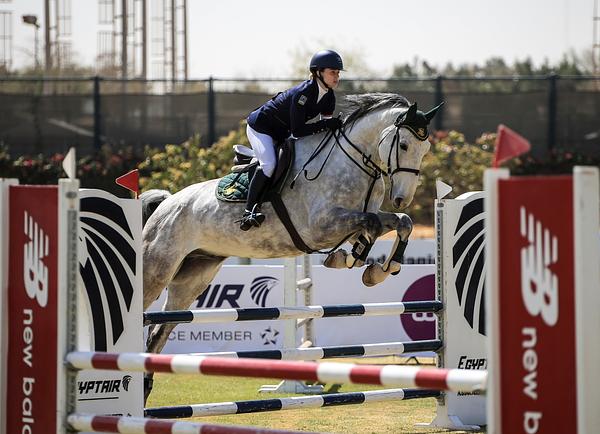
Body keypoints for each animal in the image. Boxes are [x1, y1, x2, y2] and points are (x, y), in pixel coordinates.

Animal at [141, 94, 441, 393]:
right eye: (404, 144)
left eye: (425, 149)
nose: (402, 198)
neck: (352, 162)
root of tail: (166, 202)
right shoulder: (320, 226)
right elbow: (372, 225)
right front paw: (350, 259)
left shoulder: (361, 217)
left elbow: (400, 223)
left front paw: (379, 269)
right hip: (157, 269)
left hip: (194, 276)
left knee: (158, 331)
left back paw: (145, 385)